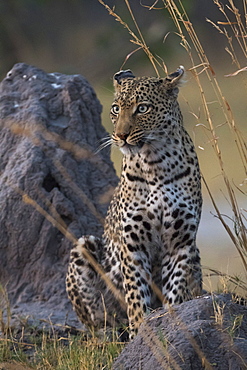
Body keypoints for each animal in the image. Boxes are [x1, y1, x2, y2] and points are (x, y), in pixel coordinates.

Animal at [66, 66, 203, 338]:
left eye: (142, 108)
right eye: (116, 108)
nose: (121, 135)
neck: (156, 163)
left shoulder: (181, 243)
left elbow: (175, 287)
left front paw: (171, 321)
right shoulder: (133, 245)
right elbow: (136, 293)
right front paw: (141, 330)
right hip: (83, 247)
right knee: (98, 323)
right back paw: (109, 334)